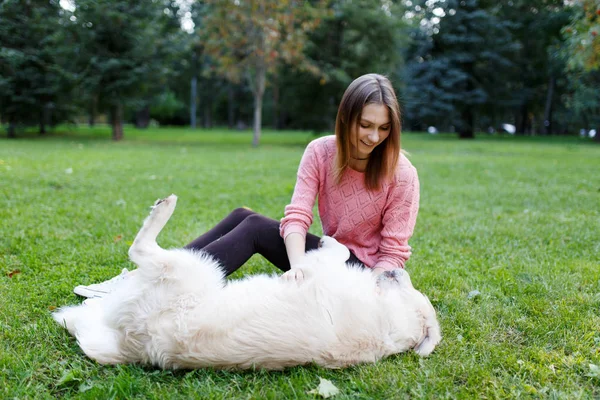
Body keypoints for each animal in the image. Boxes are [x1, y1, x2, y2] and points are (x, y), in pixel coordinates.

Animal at [54, 195, 440, 370]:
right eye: (411, 287)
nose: (398, 271)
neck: (388, 319)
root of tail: (139, 345)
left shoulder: (321, 270)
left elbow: (338, 250)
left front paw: (331, 241)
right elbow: (339, 250)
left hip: (194, 268)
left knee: (140, 248)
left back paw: (164, 208)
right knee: (82, 314)